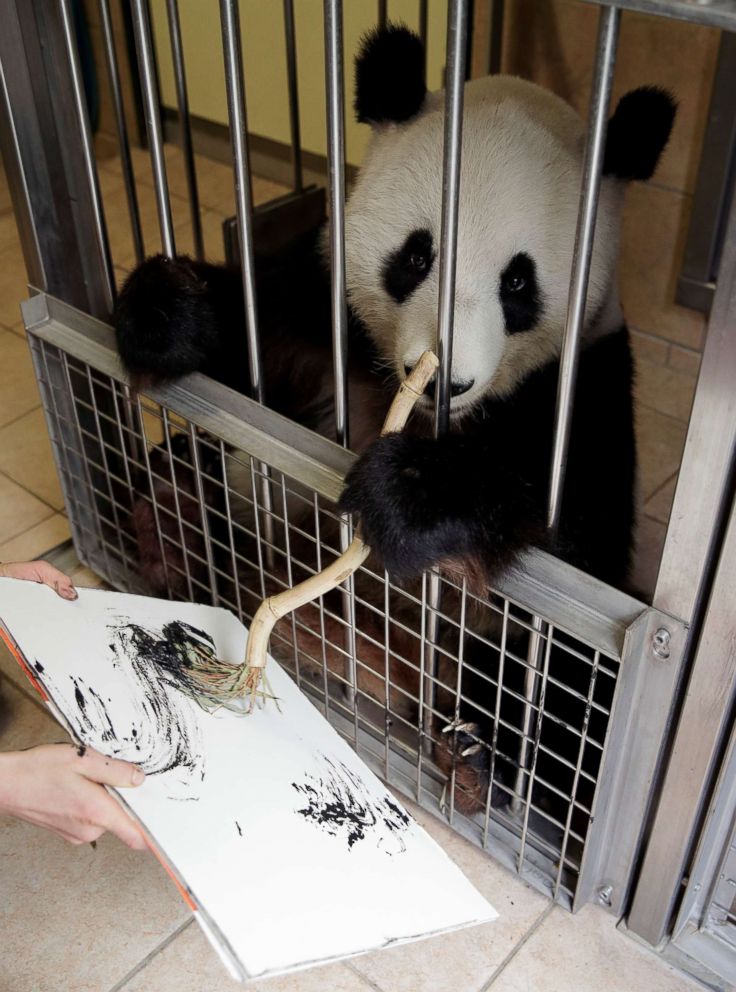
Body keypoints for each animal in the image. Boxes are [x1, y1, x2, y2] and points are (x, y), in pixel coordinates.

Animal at [112, 27, 676, 824]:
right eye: (416, 254)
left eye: (518, 281)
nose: (446, 378)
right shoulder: (323, 301)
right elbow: (250, 352)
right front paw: (166, 312)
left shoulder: (583, 382)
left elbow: (572, 541)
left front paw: (406, 494)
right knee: (188, 470)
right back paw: (166, 525)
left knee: (571, 702)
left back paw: (477, 758)